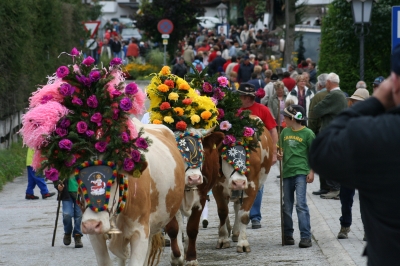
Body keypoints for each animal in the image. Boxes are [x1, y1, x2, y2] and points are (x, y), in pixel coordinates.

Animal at [82, 119, 188, 264]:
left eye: (113, 179)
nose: (91, 224)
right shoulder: (96, 237)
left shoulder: (140, 232)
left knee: (176, 224)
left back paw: (179, 256)